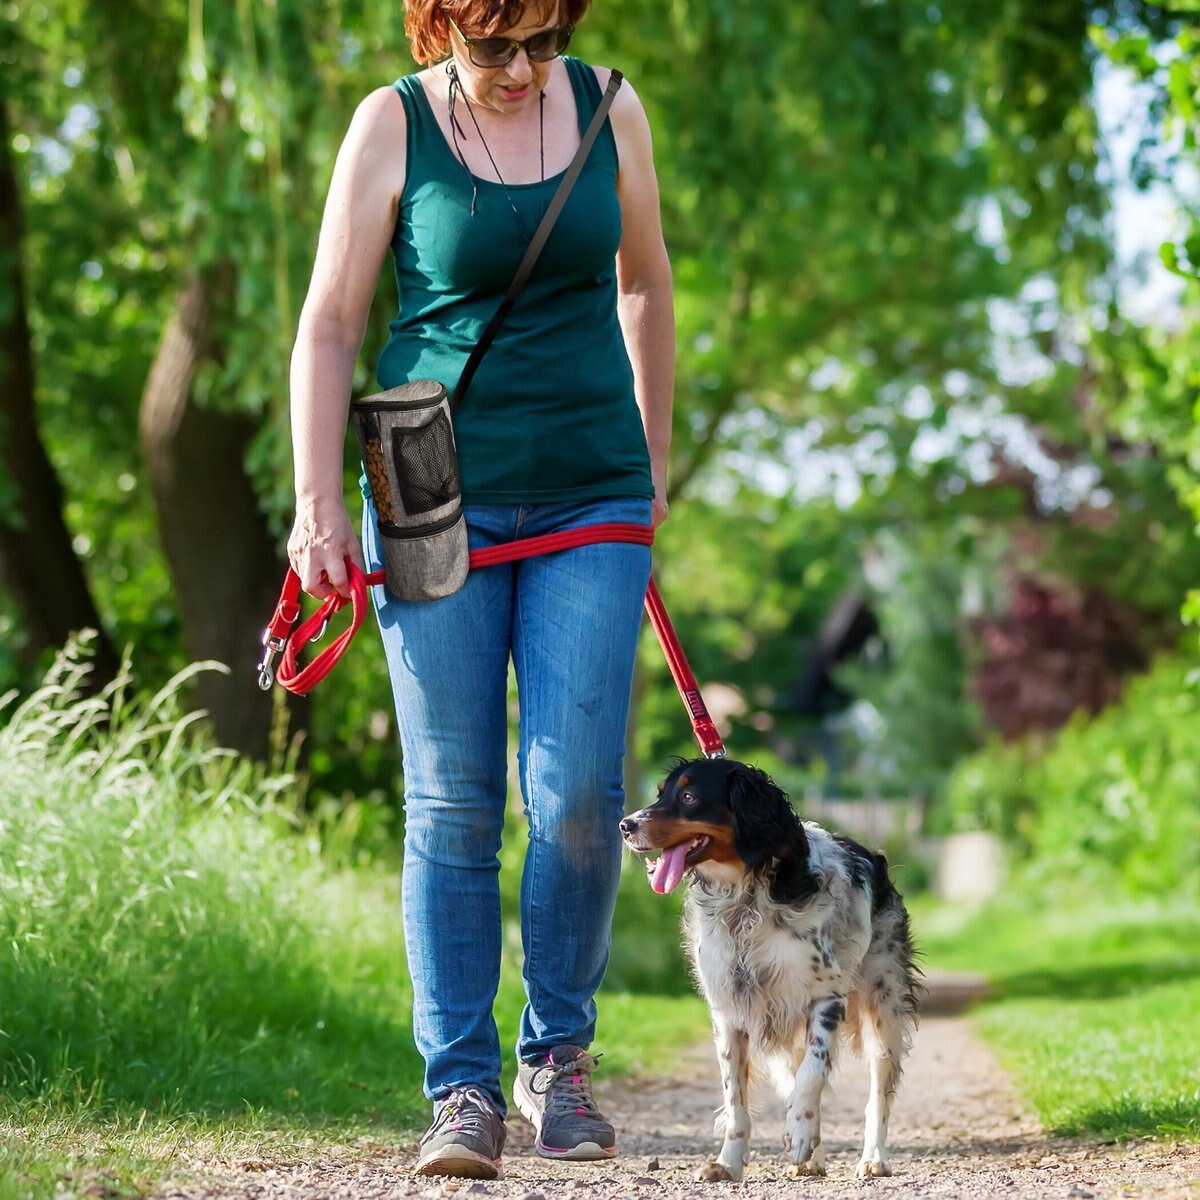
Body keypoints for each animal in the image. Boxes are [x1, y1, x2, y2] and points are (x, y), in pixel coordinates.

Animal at [619, 758, 916, 1180]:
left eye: (689, 796)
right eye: (661, 792)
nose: (625, 825)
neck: (746, 900)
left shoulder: (825, 998)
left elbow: (812, 1073)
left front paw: (800, 1131)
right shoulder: (730, 1010)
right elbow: (736, 1100)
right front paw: (728, 1163)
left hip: (883, 1010)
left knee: (876, 1094)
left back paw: (873, 1157)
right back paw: (813, 1159)